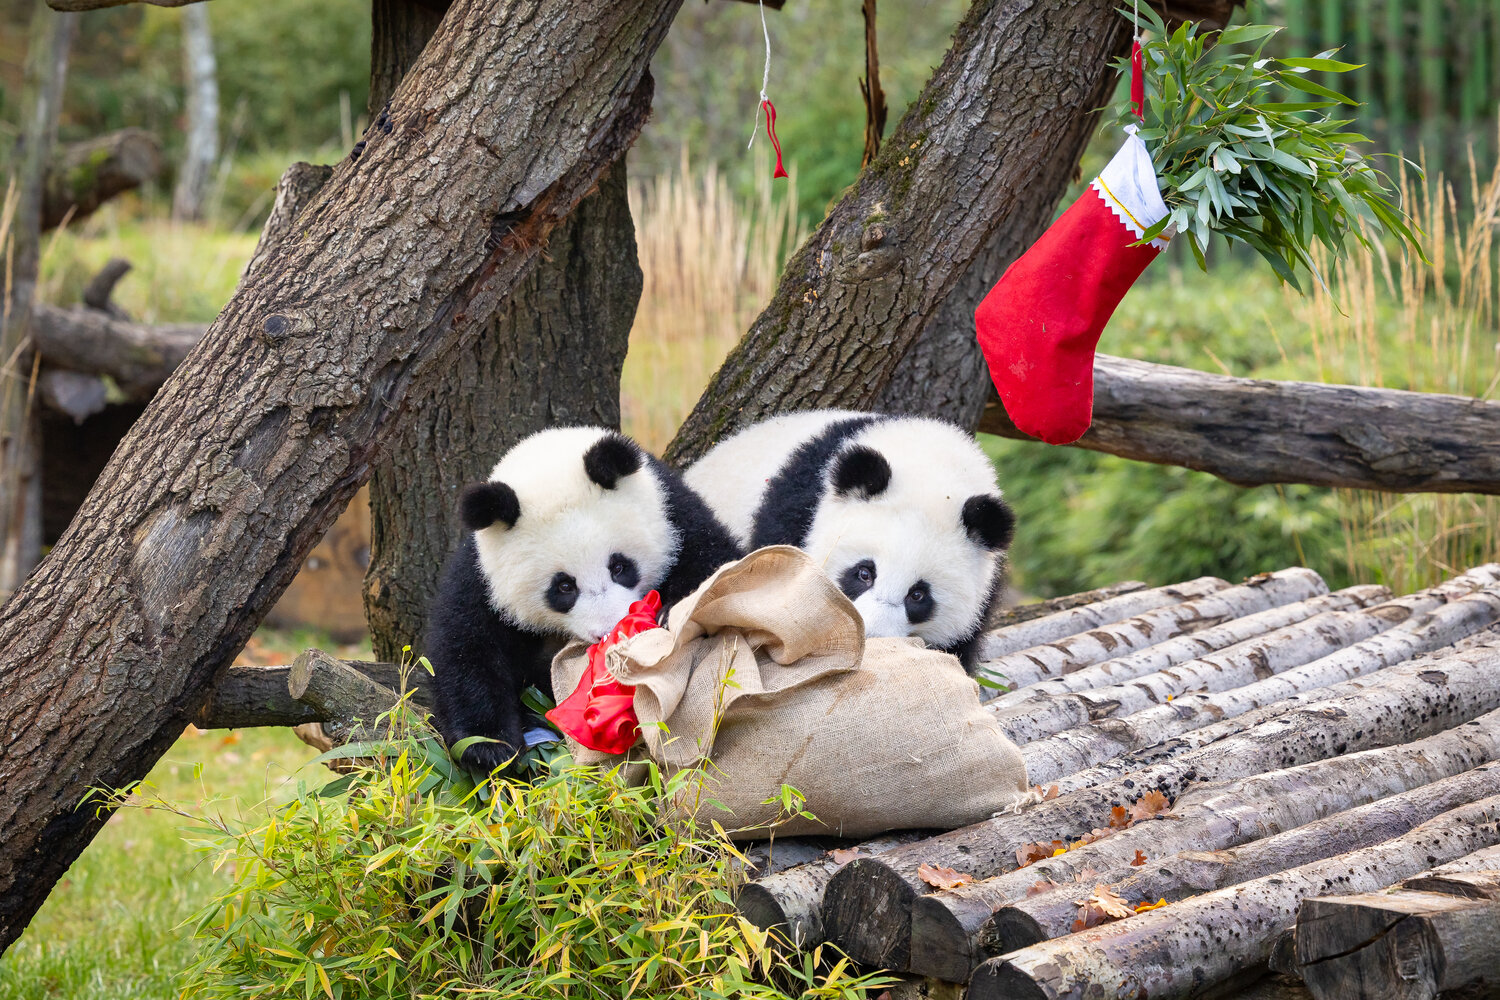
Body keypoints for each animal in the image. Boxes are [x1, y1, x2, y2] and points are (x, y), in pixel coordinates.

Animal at [427, 426, 742, 773]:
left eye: (619, 567)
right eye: (564, 586)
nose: (609, 631)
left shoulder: (673, 515)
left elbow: (716, 565)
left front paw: (670, 615)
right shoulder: (483, 578)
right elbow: (465, 650)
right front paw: (491, 749)